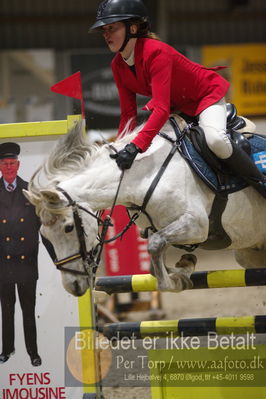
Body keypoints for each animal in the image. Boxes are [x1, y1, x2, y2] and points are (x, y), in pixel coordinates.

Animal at [22, 118, 266, 296]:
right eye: (44, 235)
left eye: (68, 228)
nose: (72, 286)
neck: (143, 176)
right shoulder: (162, 229)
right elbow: (153, 264)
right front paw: (184, 267)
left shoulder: (196, 225)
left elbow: (156, 250)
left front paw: (178, 281)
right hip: (248, 253)